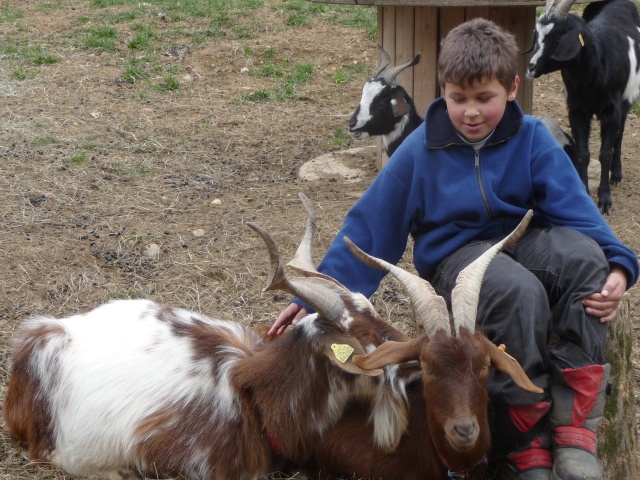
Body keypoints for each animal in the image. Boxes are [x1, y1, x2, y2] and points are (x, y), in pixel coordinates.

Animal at [524, 0, 640, 214]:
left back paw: (616, 174)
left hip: (627, 99)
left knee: (620, 133)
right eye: (538, 36)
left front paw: (604, 199)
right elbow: (582, 155)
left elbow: (604, 153)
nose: (531, 67)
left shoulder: (611, 111)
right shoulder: (577, 110)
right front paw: (584, 191)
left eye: (559, 37)